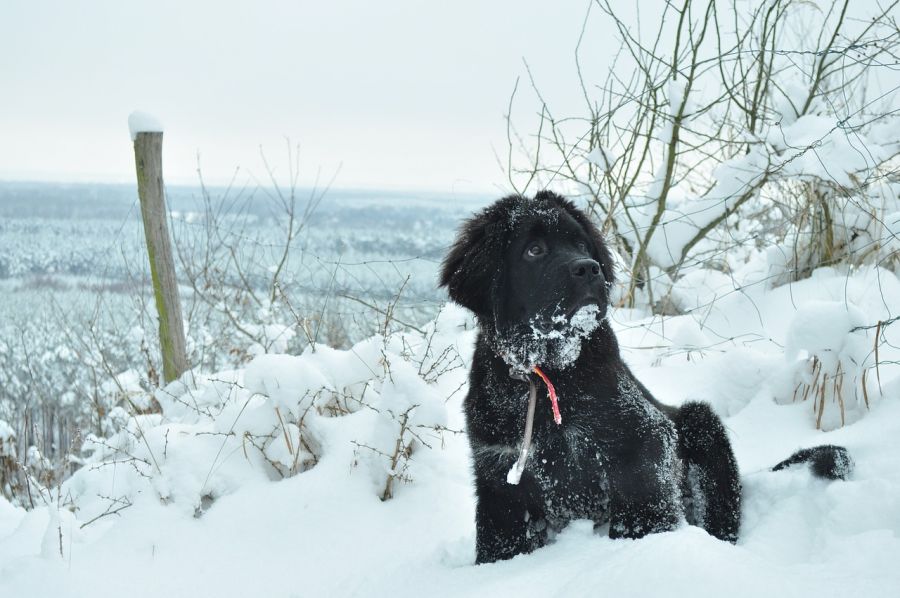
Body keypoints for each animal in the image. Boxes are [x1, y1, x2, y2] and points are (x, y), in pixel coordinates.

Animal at [440, 192, 856, 568]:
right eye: (534, 250)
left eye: (580, 244)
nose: (589, 269)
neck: (548, 374)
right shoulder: (499, 475)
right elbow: (501, 541)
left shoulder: (642, 439)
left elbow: (643, 508)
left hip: (702, 426)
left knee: (722, 511)